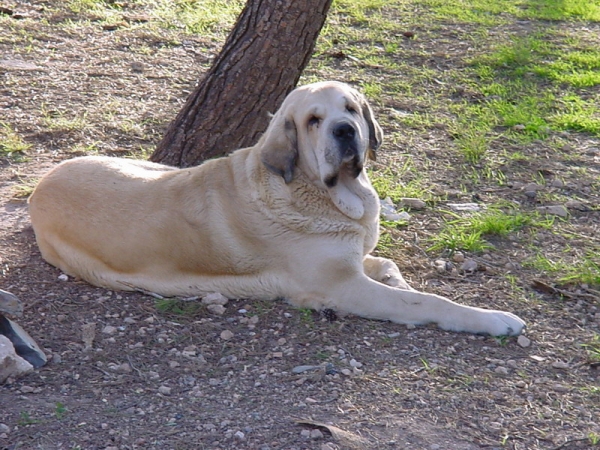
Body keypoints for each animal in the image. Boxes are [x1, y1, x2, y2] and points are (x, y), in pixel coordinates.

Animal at [29, 81, 524, 336]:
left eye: (351, 109)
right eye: (313, 121)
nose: (345, 131)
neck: (322, 193)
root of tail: (37, 189)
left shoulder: (353, 257)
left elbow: (387, 265)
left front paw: (394, 273)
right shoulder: (343, 287)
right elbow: (427, 300)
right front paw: (495, 320)